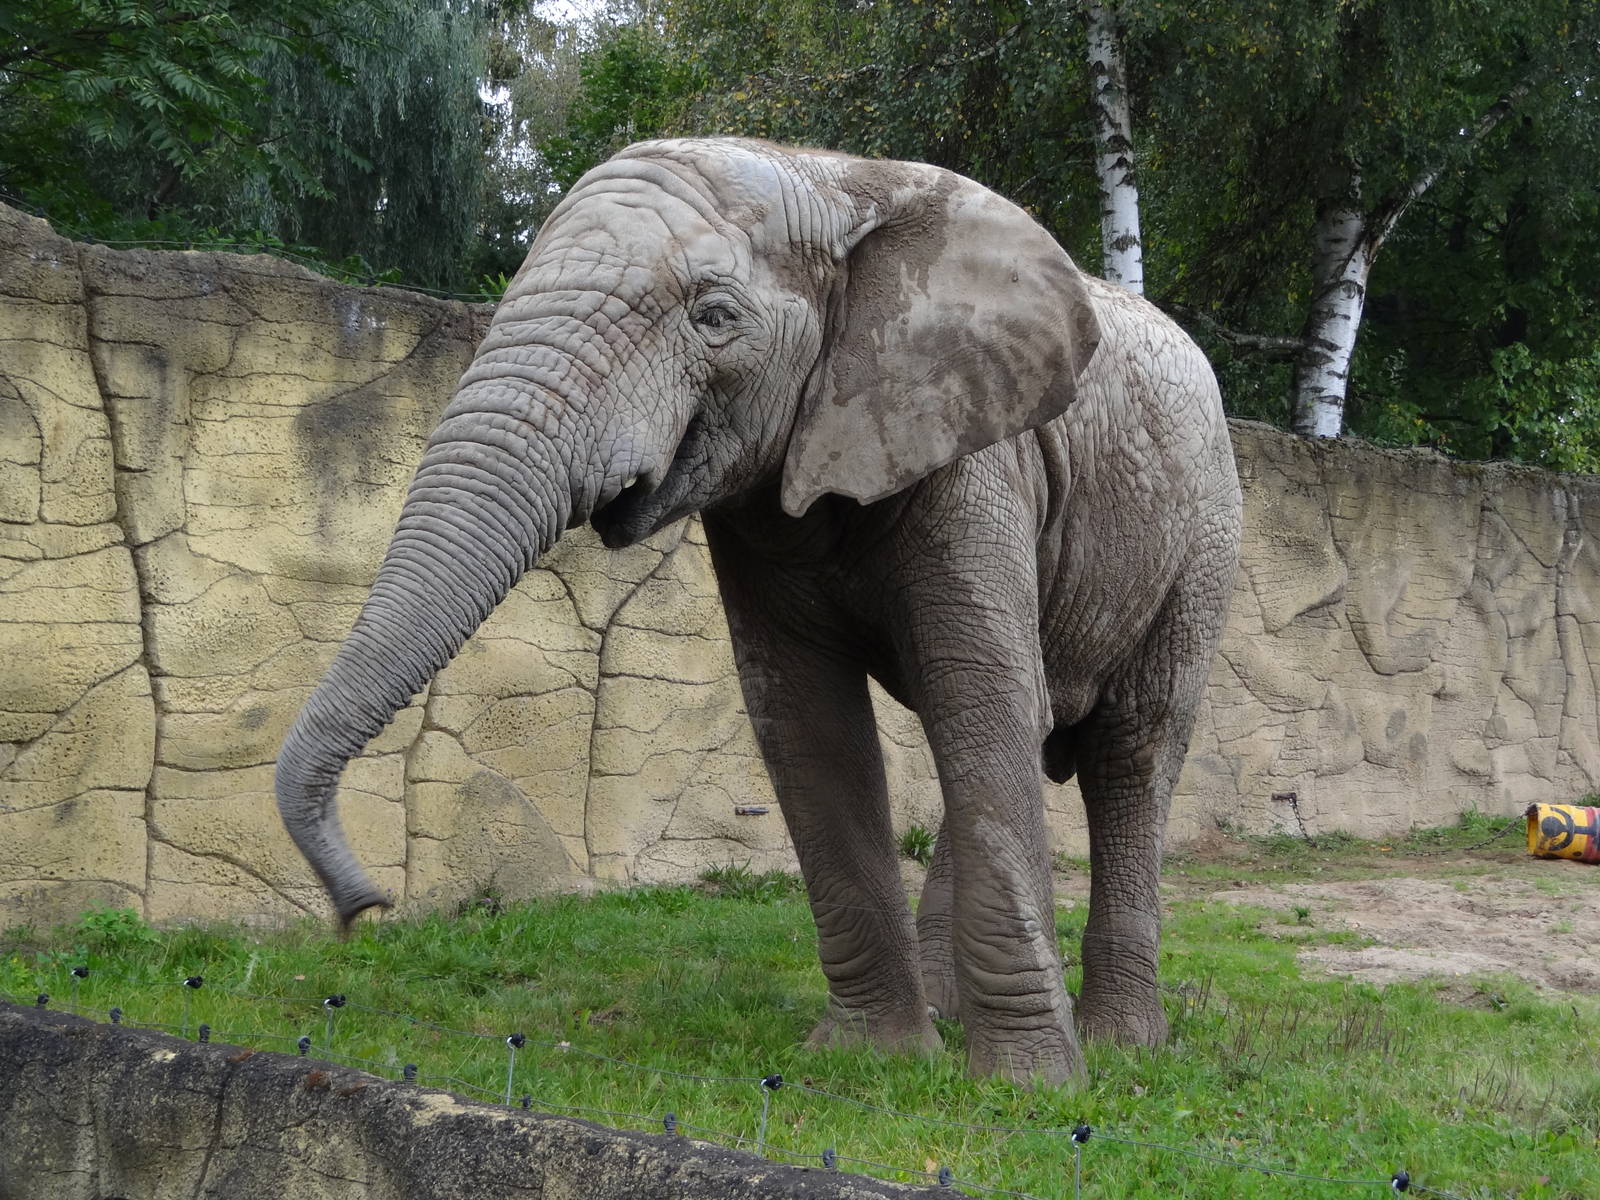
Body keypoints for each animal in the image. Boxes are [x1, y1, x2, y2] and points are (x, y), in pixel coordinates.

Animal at [276, 136, 1243, 1086]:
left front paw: (1029, 1088)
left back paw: (1123, 1046)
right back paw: (961, 1013)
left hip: (1202, 542)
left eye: (714, 317)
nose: (364, 910)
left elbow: (980, 691)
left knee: (1130, 748)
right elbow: (807, 718)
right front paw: (873, 1058)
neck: (830, 179)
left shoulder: (978, 460)